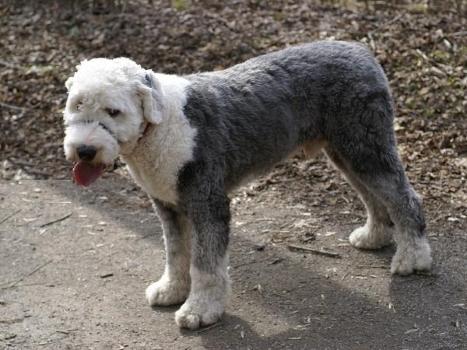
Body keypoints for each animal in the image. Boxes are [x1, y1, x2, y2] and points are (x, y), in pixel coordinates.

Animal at [64, 41, 434, 330]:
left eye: (114, 111)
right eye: (77, 105)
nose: (84, 150)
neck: (162, 125)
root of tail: (361, 50)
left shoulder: (208, 203)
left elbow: (205, 264)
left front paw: (200, 311)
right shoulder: (168, 205)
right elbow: (176, 253)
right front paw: (171, 291)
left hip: (364, 144)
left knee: (404, 197)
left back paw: (413, 258)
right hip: (345, 151)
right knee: (374, 196)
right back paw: (374, 236)